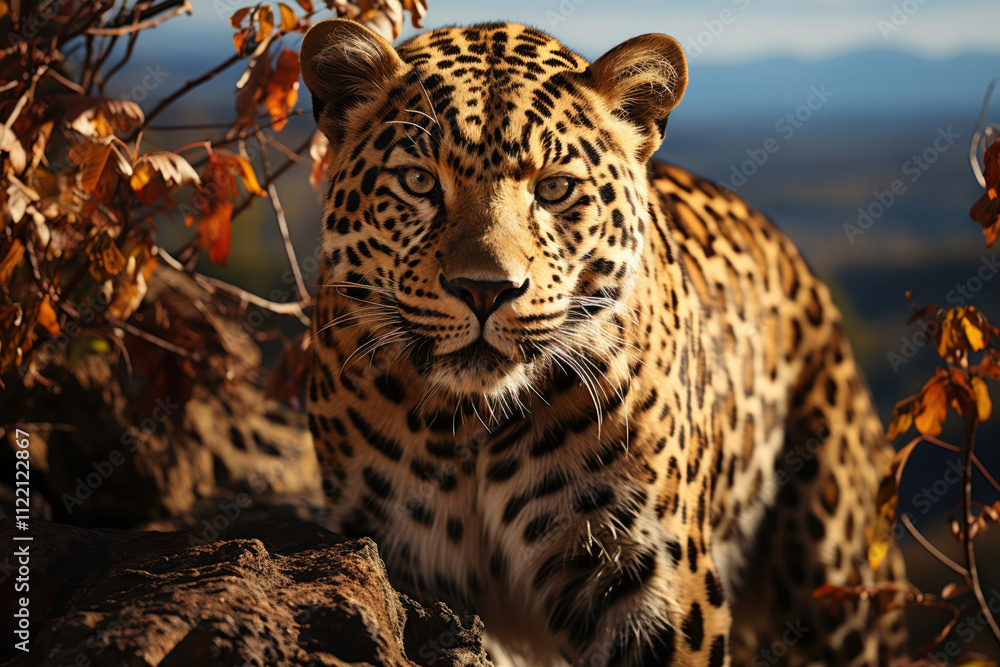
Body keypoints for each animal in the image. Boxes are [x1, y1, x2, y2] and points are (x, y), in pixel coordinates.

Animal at [298, 18, 909, 667]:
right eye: (418, 181)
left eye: (555, 189)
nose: (485, 290)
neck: (470, 427)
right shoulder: (406, 561)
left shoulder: (653, 579)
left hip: (840, 568)